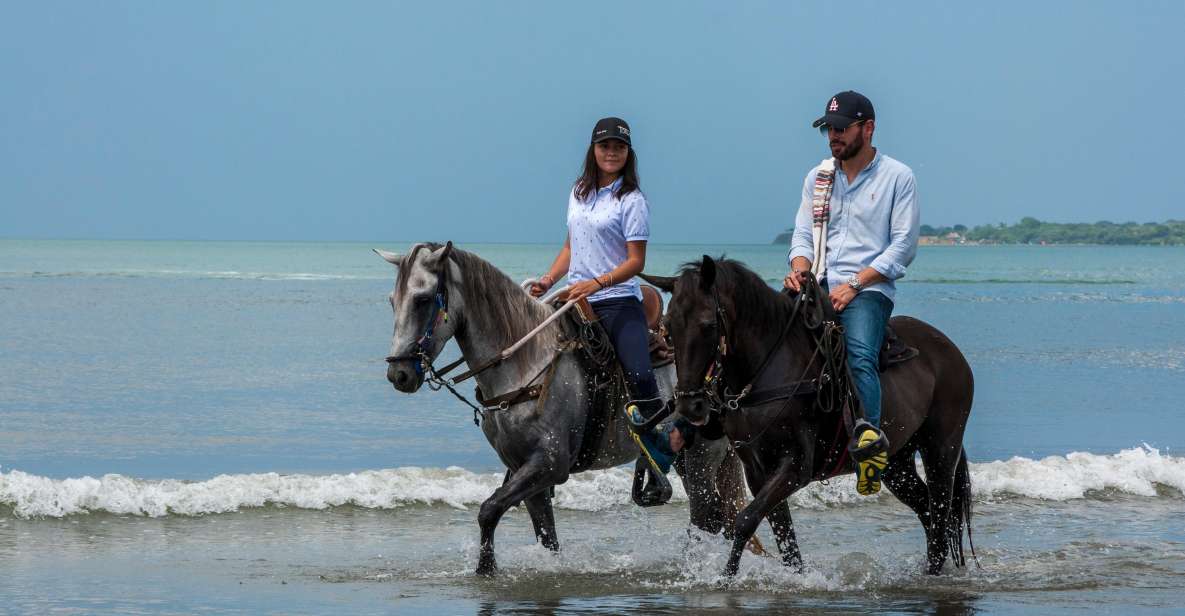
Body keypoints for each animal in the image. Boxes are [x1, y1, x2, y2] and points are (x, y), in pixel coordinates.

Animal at [374, 241, 753, 578]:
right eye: (393, 301)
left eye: (423, 300)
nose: (399, 374)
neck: (526, 366)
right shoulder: (523, 467)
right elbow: (546, 535)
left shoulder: (550, 464)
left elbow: (489, 509)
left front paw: (486, 569)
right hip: (686, 458)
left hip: (702, 456)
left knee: (705, 517)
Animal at [644, 255, 976, 578]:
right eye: (669, 327)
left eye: (709, 324)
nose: (690, 406)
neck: (767, 368)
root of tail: (949, 349)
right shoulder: (757, 470)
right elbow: (784, 535)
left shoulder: (796, 466)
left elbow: (746, 519)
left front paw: (726, 577)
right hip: (898, 463)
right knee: (928, 513)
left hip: (941, 449)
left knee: (941, 514)